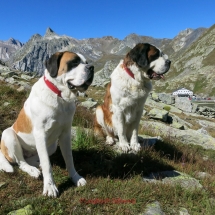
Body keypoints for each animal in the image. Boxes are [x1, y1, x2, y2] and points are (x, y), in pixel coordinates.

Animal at [0, 51, 94, 197]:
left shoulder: (65, 134)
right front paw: (50, 187)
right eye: (74, 62)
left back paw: (36, 164)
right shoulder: (41, 135)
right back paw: (32, 170)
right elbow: (47, 164)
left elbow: (69, 158)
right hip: (8, 134)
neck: (60, 97)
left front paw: (75, 178)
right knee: (21, 162)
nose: (91, 67)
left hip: (52, 145)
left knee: (33, 158)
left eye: (86, 62)